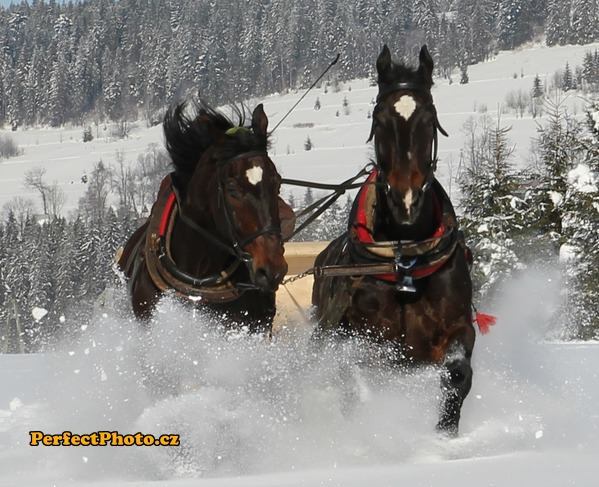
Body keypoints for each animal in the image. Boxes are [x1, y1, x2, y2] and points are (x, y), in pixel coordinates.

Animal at [312, 44, 476, 434]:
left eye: (429, 117)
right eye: (379, 119)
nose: (407, 199)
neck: (405, 259)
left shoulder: (457, 328)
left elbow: (458, 374)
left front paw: (444, 435)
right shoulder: (366, 341)